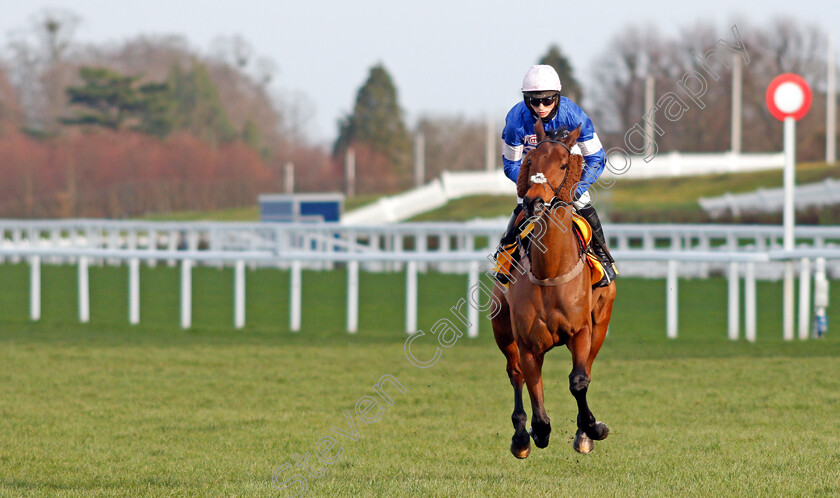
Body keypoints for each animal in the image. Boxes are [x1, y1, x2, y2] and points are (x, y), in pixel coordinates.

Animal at [488, 118, 620, 458]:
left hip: (601, 323)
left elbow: (579, 380)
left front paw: (591, 429)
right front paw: (536, 431)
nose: (533, 201)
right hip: (501, 328)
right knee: (515, 373)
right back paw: (521, 436)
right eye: (530, 160)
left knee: (587, 369)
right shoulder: (528, 342)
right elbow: (534, 390)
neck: (550, 272)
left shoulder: (582, 330)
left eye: (563, 164)